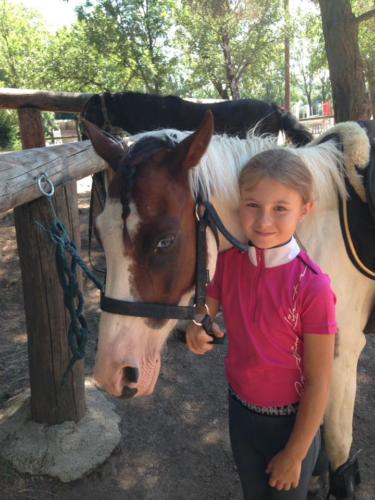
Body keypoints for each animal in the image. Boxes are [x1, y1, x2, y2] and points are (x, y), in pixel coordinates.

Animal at [83, 113, 374, 500]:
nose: (112, 374)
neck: (307, 231)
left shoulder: (340, 356)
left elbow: (341, 463)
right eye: (102, 236)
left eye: (165, 241)